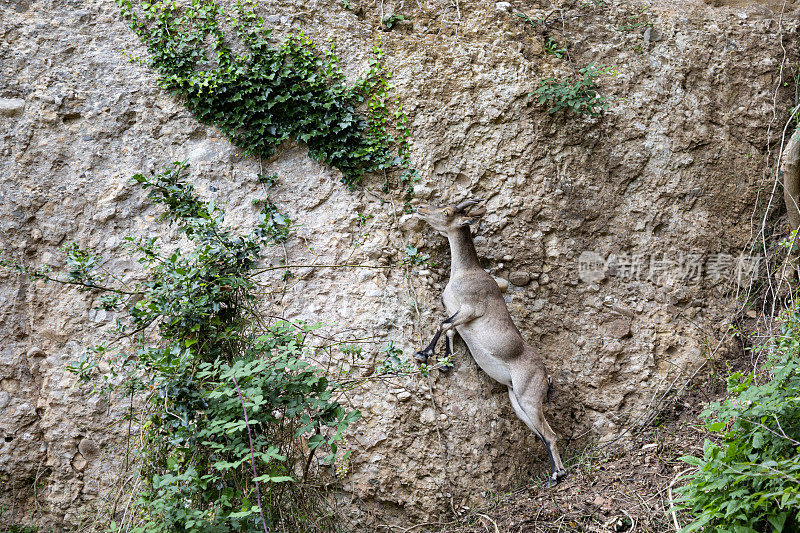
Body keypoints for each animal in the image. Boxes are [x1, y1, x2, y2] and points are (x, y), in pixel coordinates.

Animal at [412, 198, 568, 486]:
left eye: (446, 212)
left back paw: (556, 474)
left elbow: (443, 324)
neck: (465, 272)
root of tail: (547, 376)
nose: (421, 209)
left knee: (550, 435)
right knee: (542, 434)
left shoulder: (470, 308)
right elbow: (450, 330)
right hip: (517, 401)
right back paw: (555, 472)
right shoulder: (456, 310)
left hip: (529, 397)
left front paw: (424, 353)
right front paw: (445, 361)